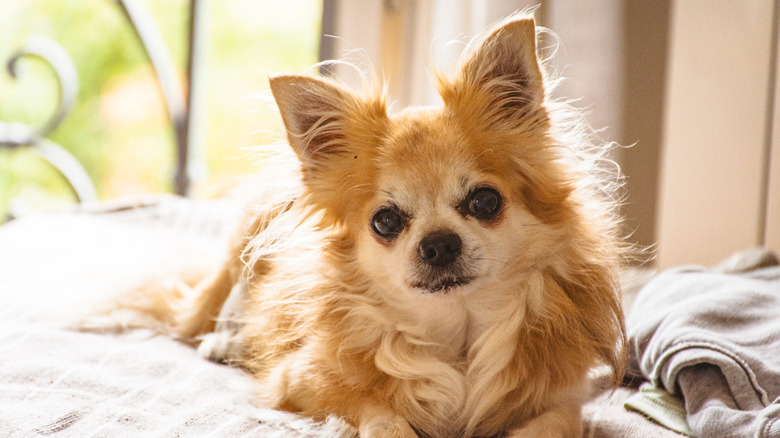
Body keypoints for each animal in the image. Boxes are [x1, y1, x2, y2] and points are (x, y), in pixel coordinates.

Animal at [108, 12, 628, 436]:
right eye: (386, 221)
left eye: (485, 201)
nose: (439, 243)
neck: (456, 336)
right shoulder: (304, 381)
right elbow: (383, 414)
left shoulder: (563, 398)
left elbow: (552, 425)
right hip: (243, 249)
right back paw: (224, 340)